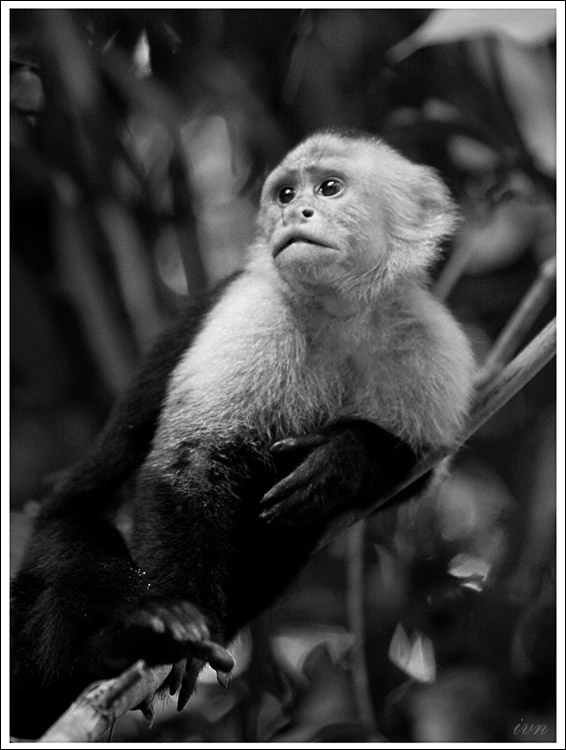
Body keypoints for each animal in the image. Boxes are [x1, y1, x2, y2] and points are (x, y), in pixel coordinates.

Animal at [10, 130, 475, 738]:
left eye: (330, 188)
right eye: (285, 194)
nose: (296, 214)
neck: (340, 311)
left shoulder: (432, 342)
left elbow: (420, 469)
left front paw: (346, 460)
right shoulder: (253, 311)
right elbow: (191, 461)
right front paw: (181, 628)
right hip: (50, 546)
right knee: (75, 564)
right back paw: (118, 643)